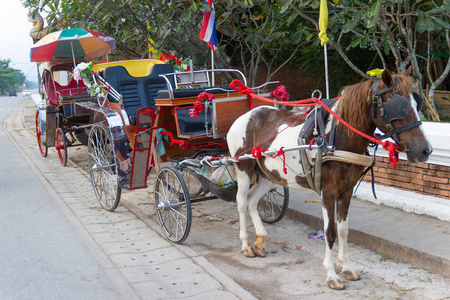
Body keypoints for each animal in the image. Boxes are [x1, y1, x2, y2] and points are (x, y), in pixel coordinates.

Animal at [229, 67, 432, 288]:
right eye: (398, 106)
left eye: (417, 103)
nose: (425, 149)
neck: (338, 138)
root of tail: (247, 115)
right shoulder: (328, 191)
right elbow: (330, 231)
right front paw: (332, 274)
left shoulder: (347, 190)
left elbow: (343, 229)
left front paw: (347, 267)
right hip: (244, 167)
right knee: (241, 202)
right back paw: (246, 244)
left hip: (268, 174)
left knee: (252, 202)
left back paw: (259, 240)